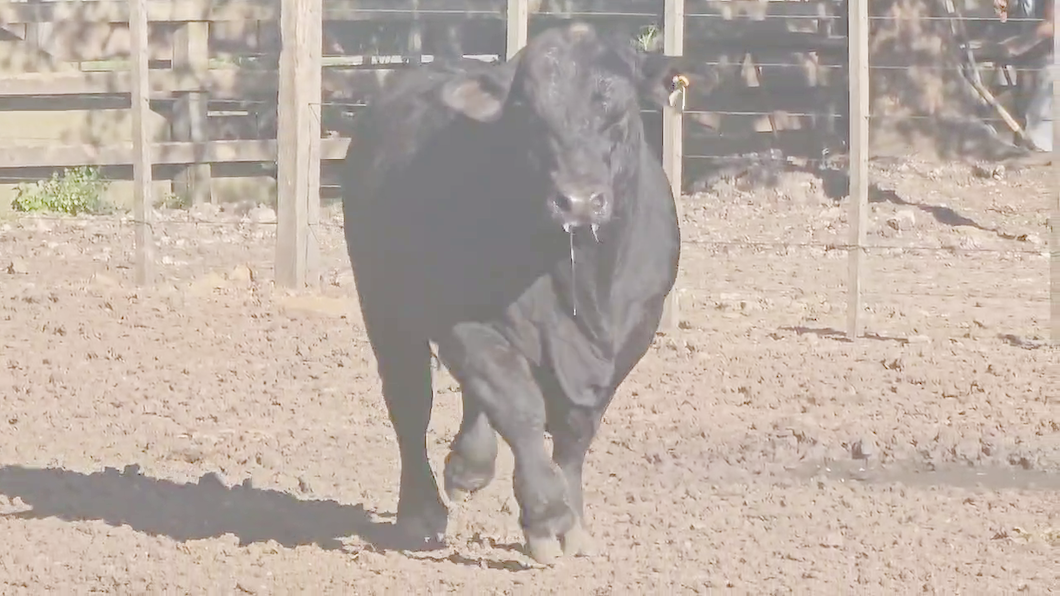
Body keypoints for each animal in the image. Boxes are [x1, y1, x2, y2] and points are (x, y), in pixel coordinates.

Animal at [337, 22, 686, 559]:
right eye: (529, 114)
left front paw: (573, 522)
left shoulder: (633, 334)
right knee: (411, 401)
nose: (577, 200)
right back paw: (420, 510)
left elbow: (576, 427)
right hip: (383, 305)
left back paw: (470, 465)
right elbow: (520, 408)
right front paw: (545, 516)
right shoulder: (464, 322)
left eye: (620, 109)